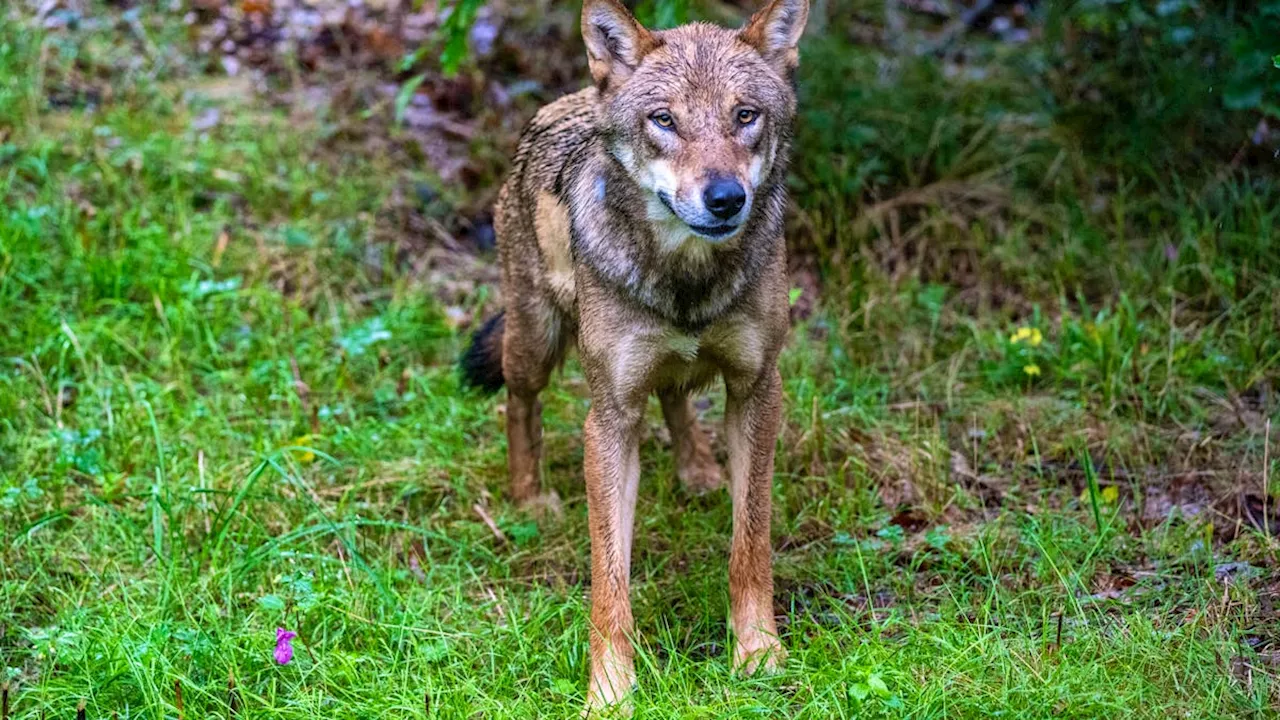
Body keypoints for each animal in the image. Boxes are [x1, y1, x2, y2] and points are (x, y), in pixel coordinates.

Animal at [460, 0, 803, 707]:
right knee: (519, 402)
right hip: (535, 342)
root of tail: (568, 101)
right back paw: (530, 499)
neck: (687, 281)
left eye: (745, 116)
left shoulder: (758, 390)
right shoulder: (610, 418)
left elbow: (749, 544)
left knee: (674, 392)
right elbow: (609, 579)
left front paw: (759, 654)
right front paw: (610, 692)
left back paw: (699, 470)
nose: (725, 197)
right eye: (664, 120)